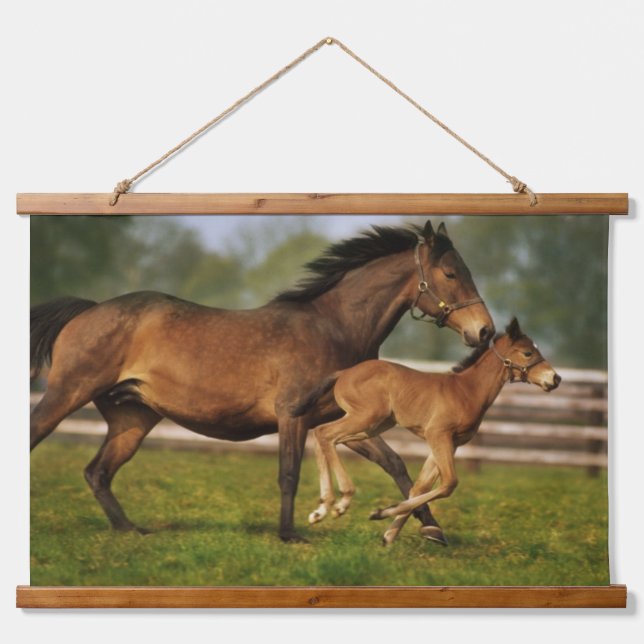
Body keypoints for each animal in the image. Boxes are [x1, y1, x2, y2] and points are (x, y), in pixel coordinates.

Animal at [30, 219, 494, 542]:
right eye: (451, 274)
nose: (485, 331)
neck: (334, 327)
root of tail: (88, 309)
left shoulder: (346, 419)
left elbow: (397, 465)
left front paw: (431, 530)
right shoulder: (294, 415)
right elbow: (288, 473)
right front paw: (291, 533)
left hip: (132, 419)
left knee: (98, 473)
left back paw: (131, 530)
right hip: (67, 394)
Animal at [293, 317, 560, 546]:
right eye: (528, 353)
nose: (555, 379)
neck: (466, 391)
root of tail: (344, 373)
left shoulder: (448, 443)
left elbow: (420, 487)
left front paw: (389, 534)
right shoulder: (437, 434)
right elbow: (449, 483)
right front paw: (380, 513)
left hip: (373, 425)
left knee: (325, 435)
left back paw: (322, 508)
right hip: (366, 417)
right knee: (325, 433)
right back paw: (341, 502)